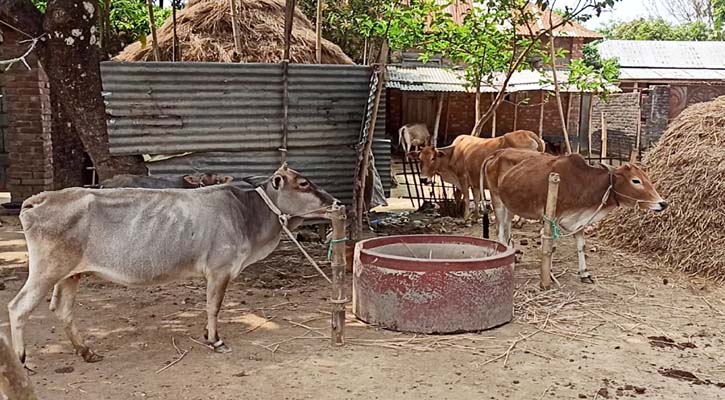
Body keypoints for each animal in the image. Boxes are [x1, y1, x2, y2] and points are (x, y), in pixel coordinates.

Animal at [8, 164, 336, 364]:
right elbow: (213, 307)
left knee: (62, 310)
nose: (335, 202)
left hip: (70, 274)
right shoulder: (219, 269)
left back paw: (86, 351)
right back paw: (22, 359)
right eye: (304, 183)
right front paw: (215, 340)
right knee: (17, 307)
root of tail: (41, 198)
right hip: (46, 271)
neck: (247, 212)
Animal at [480, 148, 668, 282]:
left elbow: (581, 246)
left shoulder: (579, 222)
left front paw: (584, 273)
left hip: (510, 204)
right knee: (501, 232)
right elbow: (551, 247)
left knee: (507, 229)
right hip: (497, 200)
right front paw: (549, 274)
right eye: (636, 180)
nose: (662, 203)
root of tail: (497, 153)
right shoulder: (552, 218)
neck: (583, 183)